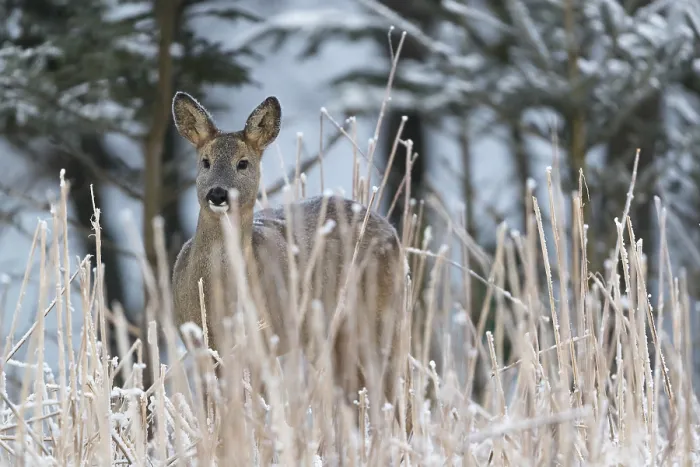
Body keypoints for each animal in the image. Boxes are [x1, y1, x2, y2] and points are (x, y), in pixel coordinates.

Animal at [170, 91, 412, 436]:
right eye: (205, 161)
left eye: (243, 163)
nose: (217, 194)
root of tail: (391, 230)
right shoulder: (200, 345)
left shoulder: (264, 341)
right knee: (354, 396)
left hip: (381, 317)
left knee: (392, 393)